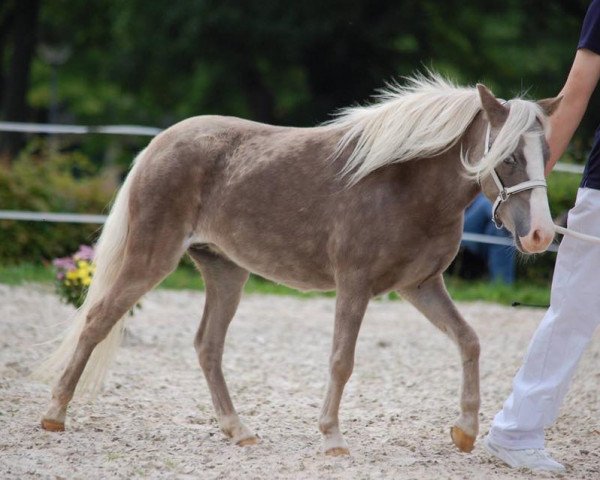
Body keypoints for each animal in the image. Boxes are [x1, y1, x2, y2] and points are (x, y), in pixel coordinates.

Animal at [35, 73, 560, 456]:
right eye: (508, 157)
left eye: (546, 154)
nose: (540, 234)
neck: (403, 183)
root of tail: (159, 144)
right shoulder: (355, 285)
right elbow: (342, 361)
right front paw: (333, 438)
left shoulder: (421, 286)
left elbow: (469, 341)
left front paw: (466, 431)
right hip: (152, 259)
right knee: (97, 320)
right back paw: (55, 415)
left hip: (225, 272)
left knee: (207, 346)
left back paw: (239, 430)